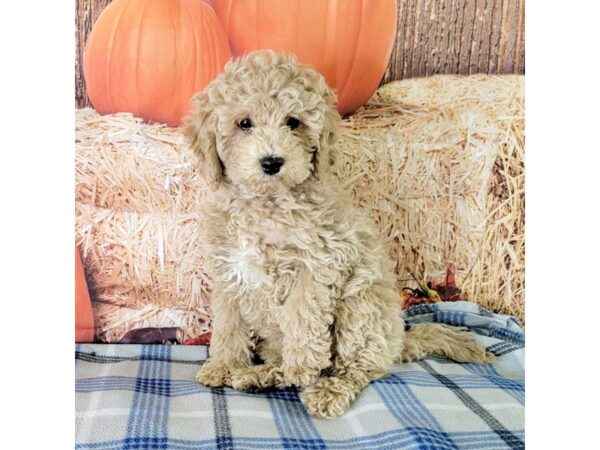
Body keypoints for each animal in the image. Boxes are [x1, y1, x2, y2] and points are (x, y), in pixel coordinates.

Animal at [185, 51, 494, 420]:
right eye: (244, 123)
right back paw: (262, 375)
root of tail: (397, 341)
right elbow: (229, 324)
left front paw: (303, 365)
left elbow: (302, 315)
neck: (265, 203)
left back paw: (324, 388)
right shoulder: (229, 270)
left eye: (293, 122)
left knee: (356, 368)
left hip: (361, 308)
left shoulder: (317, 264)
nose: (272, 161)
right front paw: (223, 365)